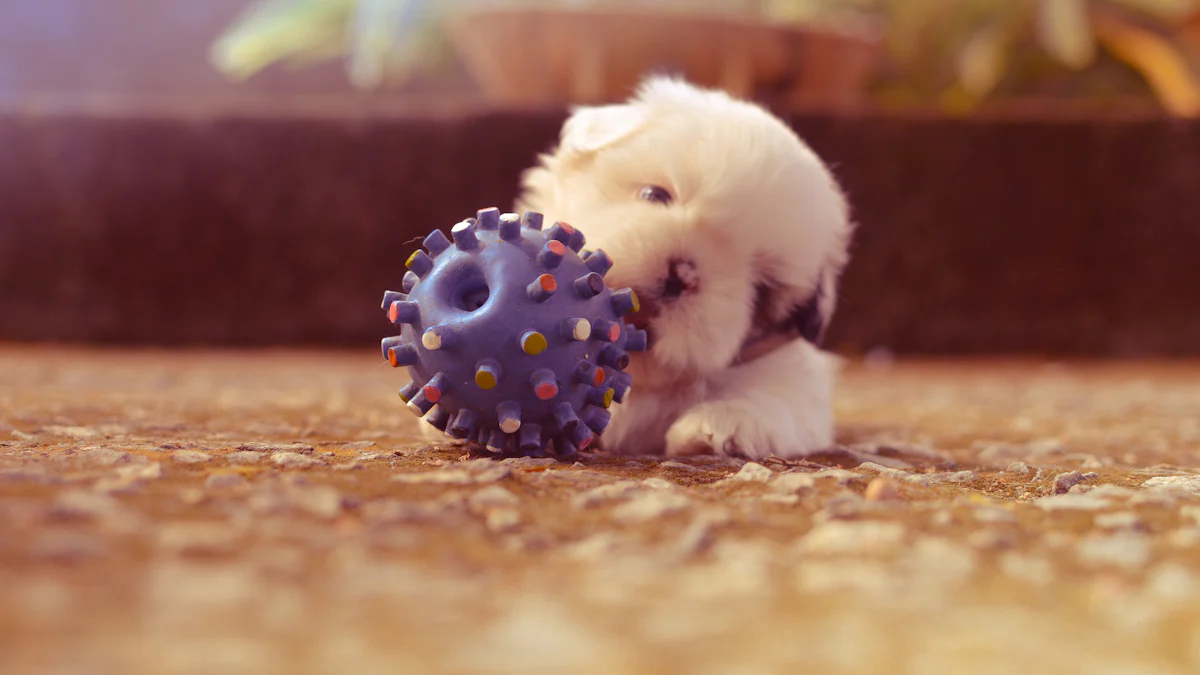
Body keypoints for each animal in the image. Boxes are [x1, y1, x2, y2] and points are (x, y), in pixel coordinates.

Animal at [516, 76, 854, 458]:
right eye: (654, 194)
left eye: (760, 290)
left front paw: (721, 425)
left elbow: (778, 401)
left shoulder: (797, 384)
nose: (683, 275)